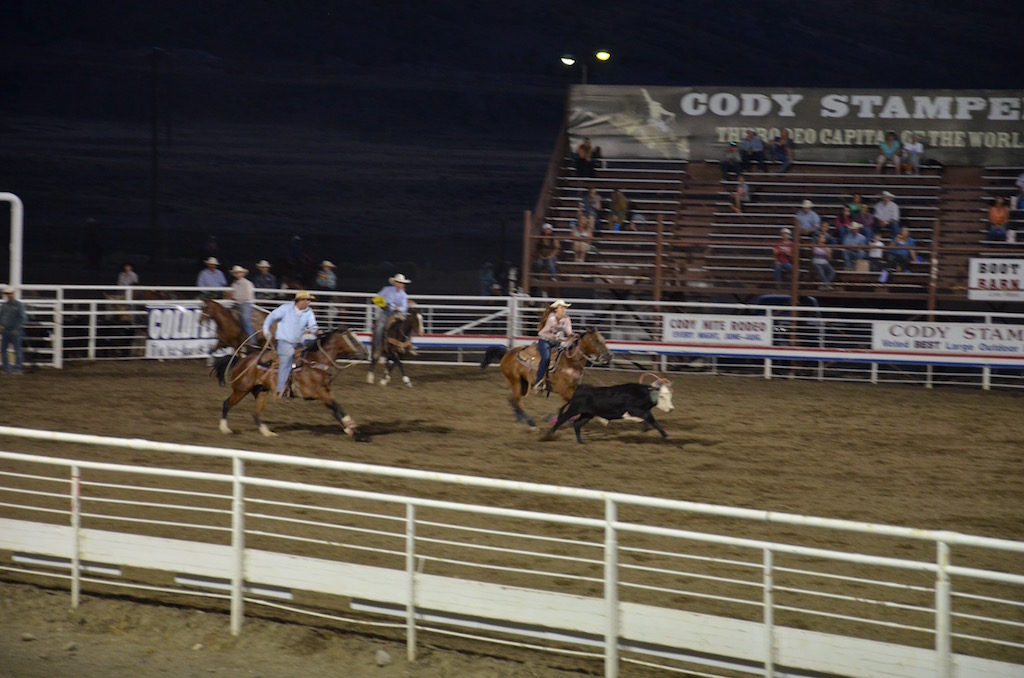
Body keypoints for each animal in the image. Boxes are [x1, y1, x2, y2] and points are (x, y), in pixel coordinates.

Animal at [211, 327, 368, 438]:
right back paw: (225, 429)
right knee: (226, 403)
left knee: (255, 413)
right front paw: (352, 428)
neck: (315, 362)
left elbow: (336, 408)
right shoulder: (319, 392)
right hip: (241, 389)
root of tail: (242, 360)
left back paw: (267, 432)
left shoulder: (326, 391)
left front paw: (350, 428)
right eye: (352, 339)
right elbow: (335, 407)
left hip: (261, 391)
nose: (365, 353)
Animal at [477, 327, 610, 430]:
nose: (609, 356)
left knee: (512, 400)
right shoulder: (564, 390)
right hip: (516, 382)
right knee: (517, 401)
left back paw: (520, 419)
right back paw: (531, 424)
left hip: (523, 384)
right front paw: (603, 419)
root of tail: (507, 354)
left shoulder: (574, 387)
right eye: (597, 341)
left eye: (604, 339)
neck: (571, 361)